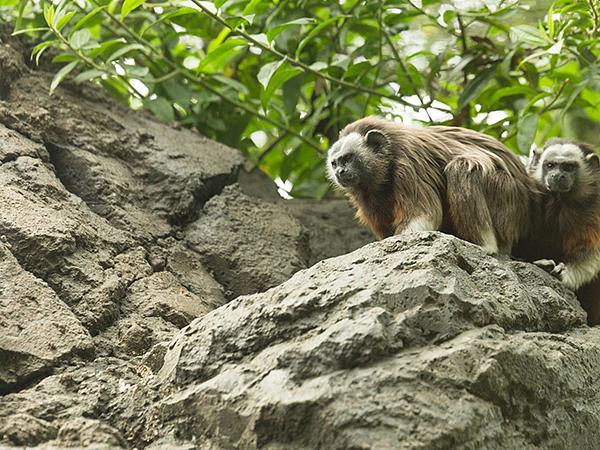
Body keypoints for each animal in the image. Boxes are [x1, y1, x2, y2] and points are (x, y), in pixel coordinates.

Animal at [328, 116, 540, 256]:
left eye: (348, 159)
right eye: (335, 163)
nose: (340, 172)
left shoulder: (409, 163)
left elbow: (424, 215)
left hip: (509, 199)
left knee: (461, 168)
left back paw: (487, 247)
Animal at [524, 138, 600, 324]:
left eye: (568, 167)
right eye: (550, 165)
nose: (558, 176)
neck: (559, 200)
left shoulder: (594, 208)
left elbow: (590, 252)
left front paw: (564, 273)